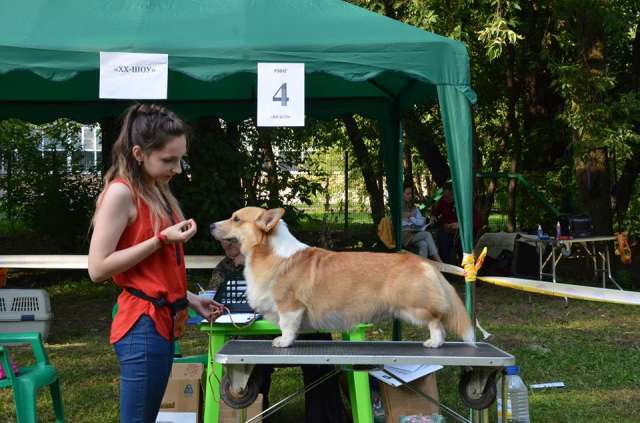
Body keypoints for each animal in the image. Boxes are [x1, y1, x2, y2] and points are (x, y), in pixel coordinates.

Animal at [212, 207, 472, 350]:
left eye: (236, 219)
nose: (211, 225)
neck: (270, 252)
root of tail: (425, 263)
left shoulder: (290, 306)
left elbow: (287, 327)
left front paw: (283, 342)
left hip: (416, 307)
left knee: (437, 322)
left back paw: (434, 343)